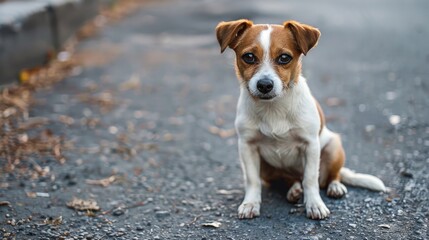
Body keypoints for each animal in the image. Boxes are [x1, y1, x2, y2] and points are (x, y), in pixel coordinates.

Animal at [216, 19, 386, 220]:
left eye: (284, 58)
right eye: (249, 57)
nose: (265, 85)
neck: (274, 107)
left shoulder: (310, 145)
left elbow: (311, 179)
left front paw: (314, 205)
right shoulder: (247, 146)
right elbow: (252, 180)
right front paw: (250, 203)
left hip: (333, 146)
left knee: (330, 176)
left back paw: (335, 186)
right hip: (267, 168)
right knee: (290, 179)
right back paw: (294, 190)